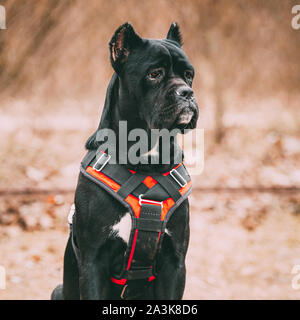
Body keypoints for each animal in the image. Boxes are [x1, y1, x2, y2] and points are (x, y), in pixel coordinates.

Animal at [52, 22, 198, 300]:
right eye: (154, 73)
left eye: (189, 75)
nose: (187, 92)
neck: (145, 159)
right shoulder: (93, 261)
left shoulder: (175, 263)